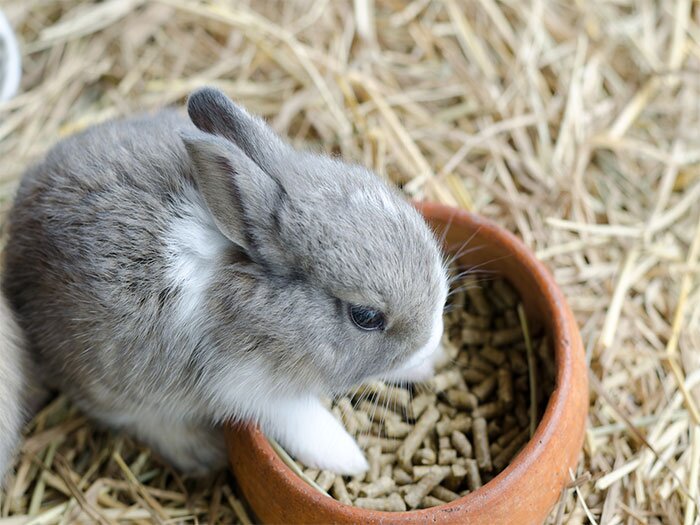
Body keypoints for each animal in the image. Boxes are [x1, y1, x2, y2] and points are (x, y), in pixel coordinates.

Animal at [0, 87, 448, 482]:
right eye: (366, 316)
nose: (431, 339)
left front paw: (427, 363)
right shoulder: (248, 387)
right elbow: (303, 421)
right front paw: (350, 460)